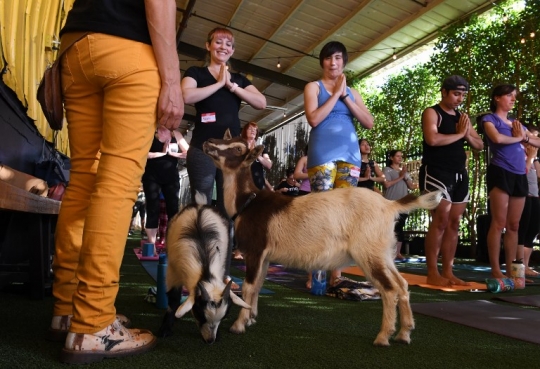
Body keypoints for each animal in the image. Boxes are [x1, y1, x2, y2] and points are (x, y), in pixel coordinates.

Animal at [158, 191, 251, 344]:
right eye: (200, 314)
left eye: (224, 317)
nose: (210, 340)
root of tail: (200, 204)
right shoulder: (173, 271)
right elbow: (173, 298)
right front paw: (165, 328)